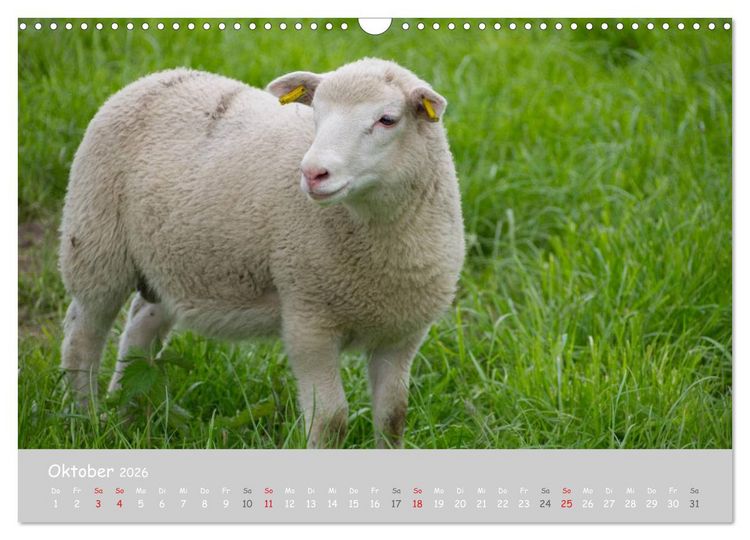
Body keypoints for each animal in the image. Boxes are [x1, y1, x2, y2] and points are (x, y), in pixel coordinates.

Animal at [58, 58, 465, 448]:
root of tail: (157, 76)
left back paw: (127, 412)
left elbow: (393, 419)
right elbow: (330, 421)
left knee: (141, 324)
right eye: (316, 113)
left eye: (387, 119)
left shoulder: (403, 335)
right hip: (95, 240)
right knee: (83, 334)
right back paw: (86, 416)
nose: (312, 173)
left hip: (168, 261)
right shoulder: (308, 319)